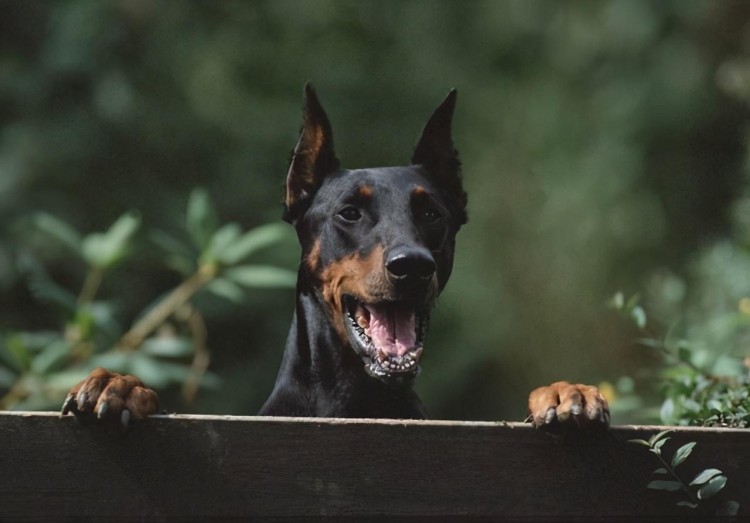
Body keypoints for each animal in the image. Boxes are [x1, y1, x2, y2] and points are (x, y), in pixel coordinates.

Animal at [63, 85, 612, 430]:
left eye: (432, 213)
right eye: (349, 212)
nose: (412, 266)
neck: (354, 400)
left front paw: (565, 393)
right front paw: (121, 386)